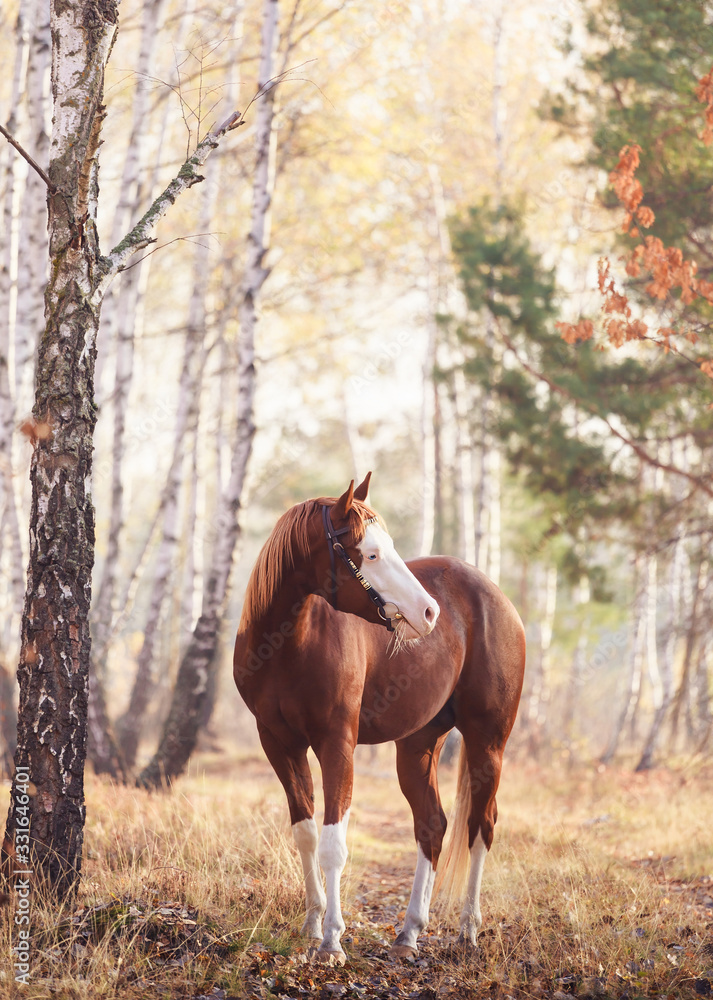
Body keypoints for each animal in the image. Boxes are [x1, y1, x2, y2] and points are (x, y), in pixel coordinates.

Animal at [234, 476, 524, 960]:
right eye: (369, 553)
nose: (429, 612)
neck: (288, 644)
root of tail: (498, 598)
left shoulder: (337, 744)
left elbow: (334, 843)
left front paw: (332, 940)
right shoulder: (278, 743)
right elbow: (306, 834)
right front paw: (312, 925)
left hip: (488, 743)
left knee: (480, 826)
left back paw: (467, 930)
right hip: (418, 746)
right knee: (432, 826)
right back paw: (409, 933)